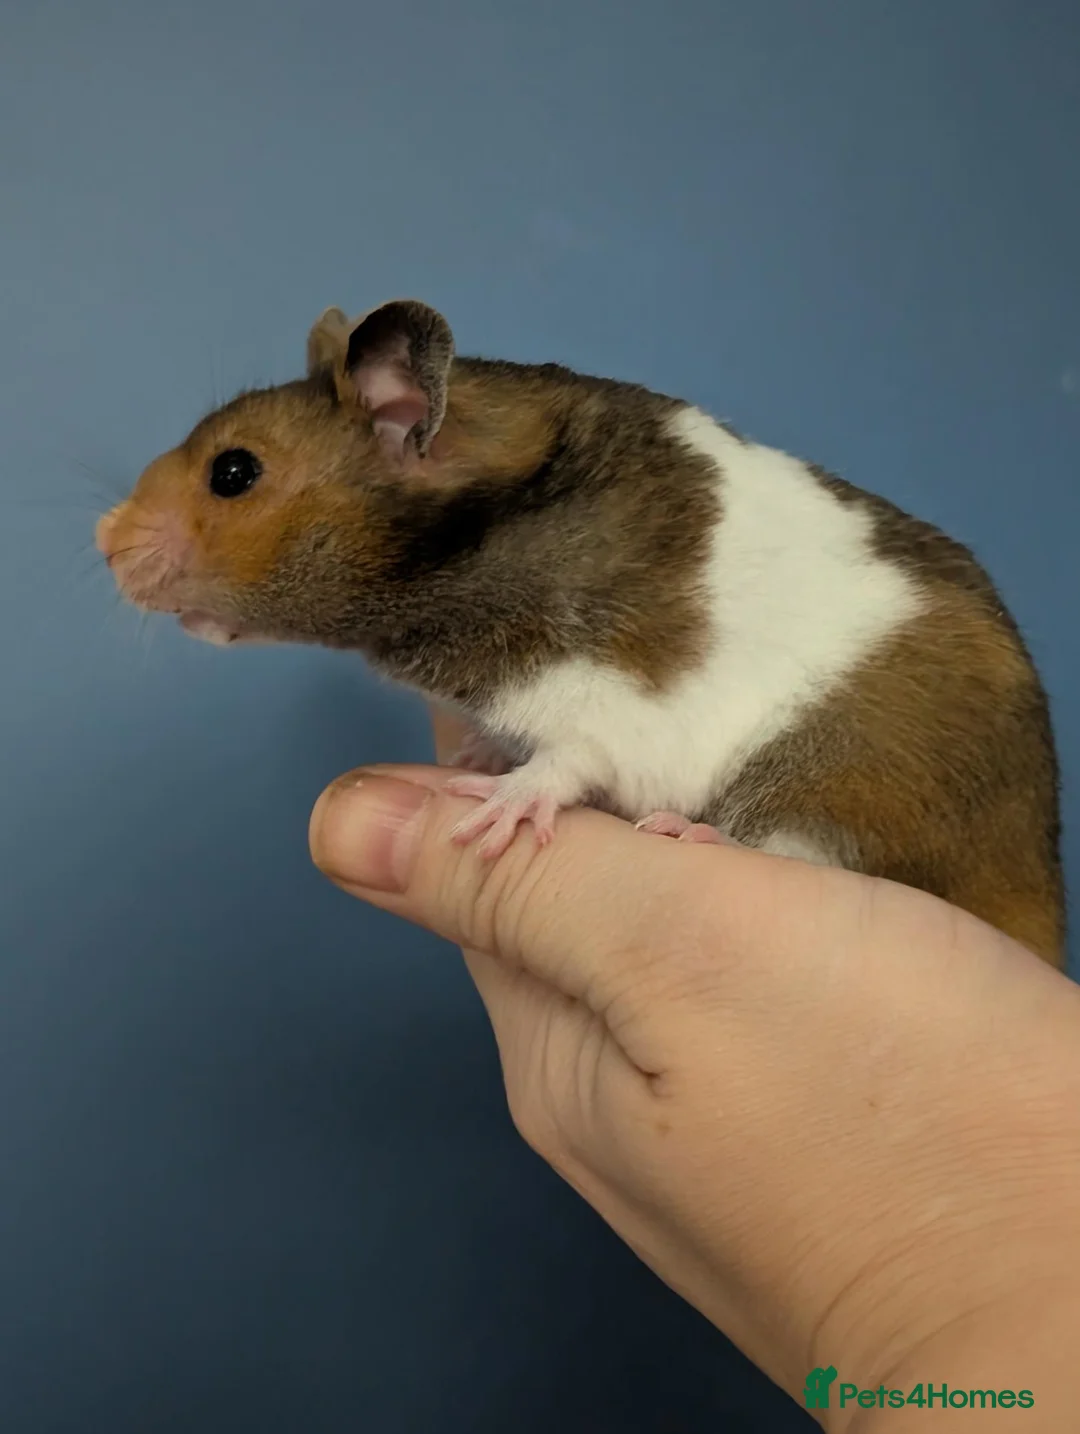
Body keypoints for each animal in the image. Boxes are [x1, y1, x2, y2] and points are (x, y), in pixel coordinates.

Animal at [96, 298, 1066, 967]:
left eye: (234, 473)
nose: (103, 543)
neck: (465, 553)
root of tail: (1040, 895)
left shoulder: (613, 694)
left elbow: (569, 761)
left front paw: (492, 809)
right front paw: (479, 755)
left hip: (849, 778)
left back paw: (692, 836)